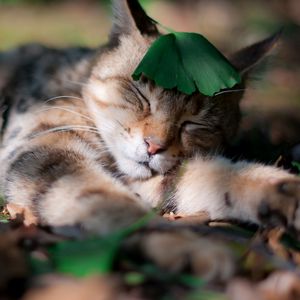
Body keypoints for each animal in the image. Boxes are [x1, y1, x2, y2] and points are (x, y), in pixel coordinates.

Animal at [0, 0, 300, 282]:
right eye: (140, 95)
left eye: (194, 122)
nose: (154, 146)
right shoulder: (44, 150)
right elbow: (109, 202)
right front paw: (182, 246)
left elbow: (217, 175)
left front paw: (284, 190)